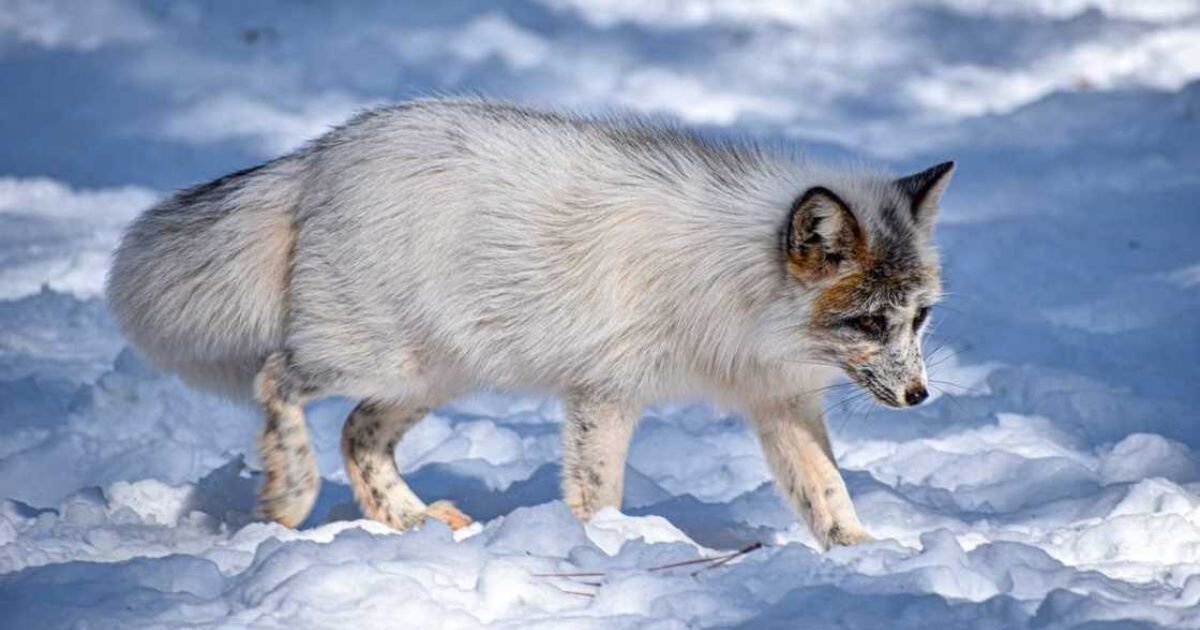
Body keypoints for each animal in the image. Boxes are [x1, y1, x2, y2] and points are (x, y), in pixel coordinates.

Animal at [106, 98, 953, 549]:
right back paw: (289, 495)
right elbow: (598, 491)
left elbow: (827, 493)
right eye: (869, 322)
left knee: (356, 434)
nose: (920, 398)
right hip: (373, 358)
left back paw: (409, 520)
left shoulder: (778, 401)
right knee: (276, 380)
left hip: (434, 374)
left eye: (918, 318)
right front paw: (610, 550)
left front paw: (859, 557)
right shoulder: (606, 394)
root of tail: (325, 152)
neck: (739, 289)